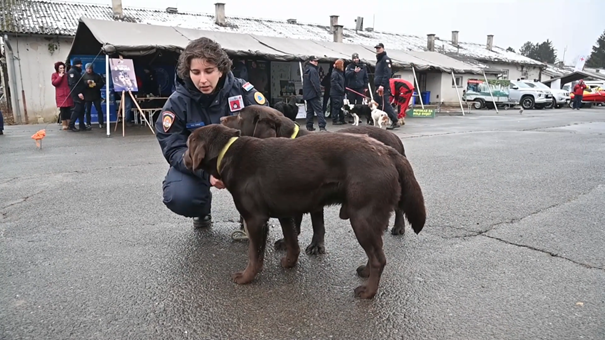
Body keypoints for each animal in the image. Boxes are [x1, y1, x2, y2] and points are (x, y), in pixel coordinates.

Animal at [184, 123, 424, 298]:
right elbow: (292, 241)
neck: (228, 151)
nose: (184, 157)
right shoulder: (285, 213)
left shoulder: (255, 220)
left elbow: (255, 254)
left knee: (379, 259)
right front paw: (289, 263)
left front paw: (245, 277)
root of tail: (388, 151)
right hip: (370, 218)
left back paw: (368, 292)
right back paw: (365, 273)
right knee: (376, 251)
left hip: (362, 217)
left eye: (188, 144)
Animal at [222, 106, 410, 255]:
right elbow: (297, 220)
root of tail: (394, 138)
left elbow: (316, 224)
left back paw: (398, 227)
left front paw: (316, 246)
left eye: (239, 116)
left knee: (399, 208)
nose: (222, 118)